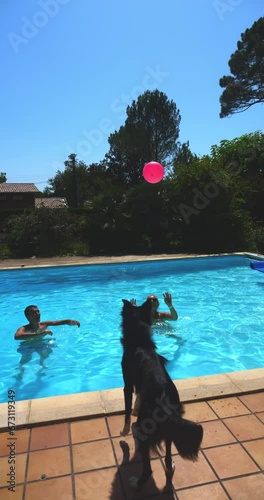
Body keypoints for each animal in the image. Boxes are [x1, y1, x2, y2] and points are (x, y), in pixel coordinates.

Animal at [120, 298, 203, 486]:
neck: (140, 340)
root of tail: (164, 400)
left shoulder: (127, 384)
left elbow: (127, 410)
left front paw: (125, 430)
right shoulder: (140, 387)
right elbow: (137, 400)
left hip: (147, 433)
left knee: (147, 469)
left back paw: (135, 481)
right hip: (168, 431)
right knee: (167, 455)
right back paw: (169, 467)